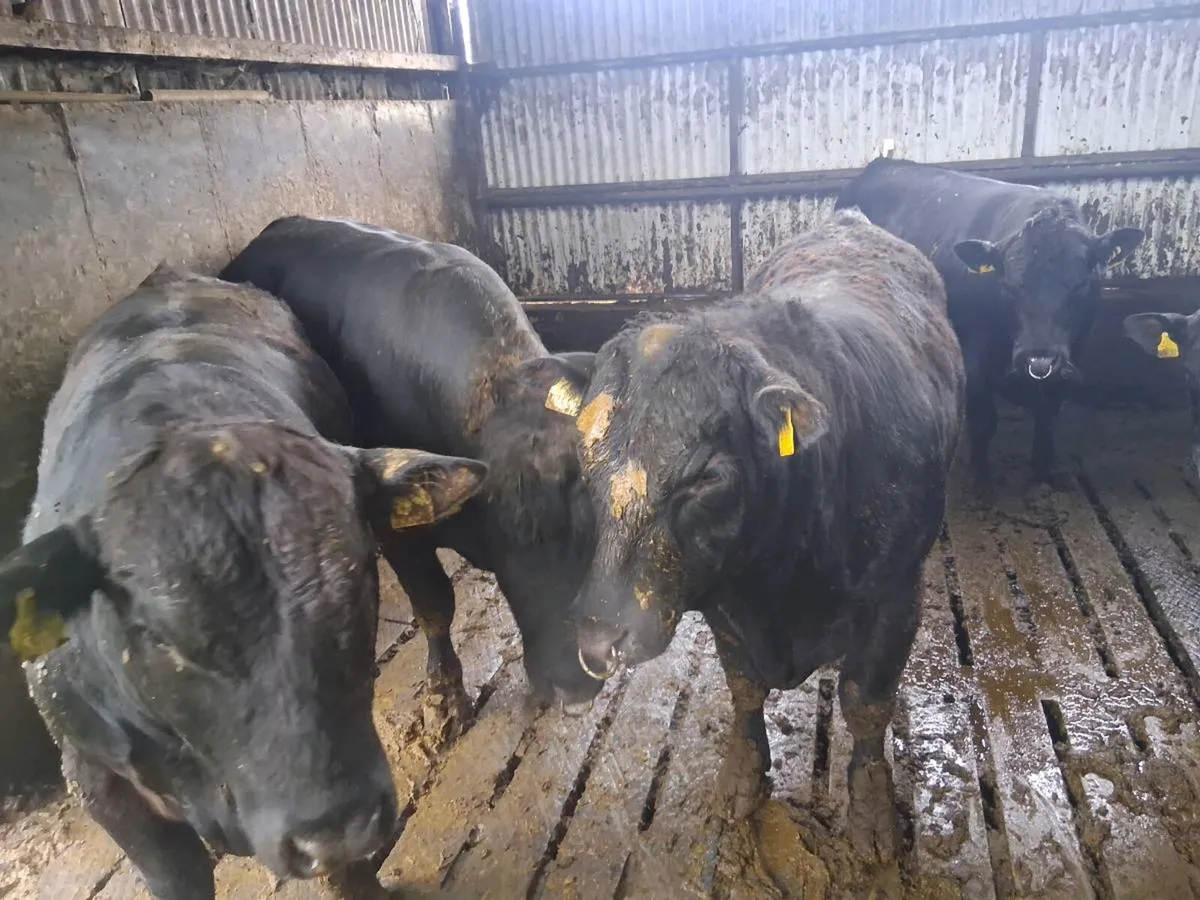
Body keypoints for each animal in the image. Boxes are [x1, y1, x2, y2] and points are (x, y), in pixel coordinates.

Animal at [0, 265, 487, 900]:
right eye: (159, 635)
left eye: (359, 575)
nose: (339, 829)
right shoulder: (95, 770)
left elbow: (349, 872)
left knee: (432, 605)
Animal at [569, 209, 965, 862]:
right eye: (582, 457)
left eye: (706, 476)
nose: (601, 642)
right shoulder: (724, 605)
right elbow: (745, 689)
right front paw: (741, 778)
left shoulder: (897, 597)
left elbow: (866, 704)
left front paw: (873, 812)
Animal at [836, 157, 1145, 501]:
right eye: (1008, 285)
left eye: (1080, 285)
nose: (1038, 356)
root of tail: (882, 163)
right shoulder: (974, 364)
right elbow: (985, 422)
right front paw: (981, 479)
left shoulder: (1070, 358)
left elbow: (1048, 417)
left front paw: (1044, 473)